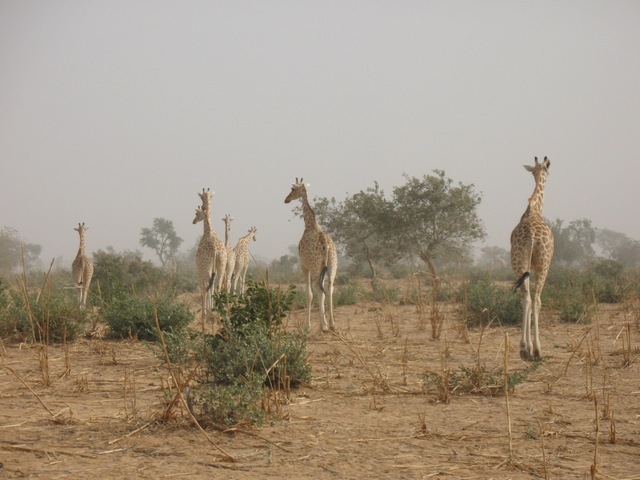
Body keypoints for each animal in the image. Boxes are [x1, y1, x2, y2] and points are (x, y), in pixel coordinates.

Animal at [192, 189, 228, 320]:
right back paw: (219, 314)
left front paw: (205, 312)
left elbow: (204, 288)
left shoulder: (199, 270)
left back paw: (209, 314)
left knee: (208, 286)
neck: (209, 231)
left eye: (197, 214)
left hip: (207, 268)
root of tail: (216, 251)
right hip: (221, 266)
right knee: (218, 285)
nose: (193, 221)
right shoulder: (215, 269)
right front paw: (210, 310)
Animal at [284, 178, 338, 332]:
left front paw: (307, 326)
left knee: (319, 290)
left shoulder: (304, 266)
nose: (286, 199)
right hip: (332, 265)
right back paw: (331, 324)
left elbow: (309, 294)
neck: (310, 225)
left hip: (314, 267)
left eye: (292, 189)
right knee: (329, 288)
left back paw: (323, 326)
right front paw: (323, 322)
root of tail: (325, 243)